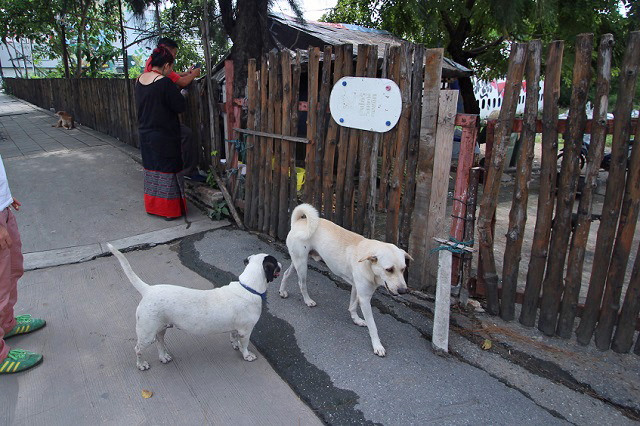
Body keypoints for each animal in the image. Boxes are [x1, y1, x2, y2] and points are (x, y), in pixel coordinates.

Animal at [107, 245, 280, 372]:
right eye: (276, 262)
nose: (281, 264)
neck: (249, 287)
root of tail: (148, 289)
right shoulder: (246, 330)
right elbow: (244, 345)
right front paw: (246, 355)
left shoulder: (236, 328)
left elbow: (233, 336)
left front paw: (234, 344)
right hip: (146, 334)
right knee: (138, 348)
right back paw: (141, 364)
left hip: (160, 328)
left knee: (159, 341)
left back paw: (163, 356)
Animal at [278, 203, 412, 356]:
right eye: (389, 269)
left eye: (403, 269)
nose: (403, 291)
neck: (368, 264)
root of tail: (298, 222)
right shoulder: (365, 299)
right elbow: (373, 326)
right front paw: (377, 345)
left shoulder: (356, 288)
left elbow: (352, 306)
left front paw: (356, 320)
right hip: (302, 266)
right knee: (301, 284)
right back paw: (308, 301)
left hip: (296, 263)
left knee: (286, 274)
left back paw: (282, 291)